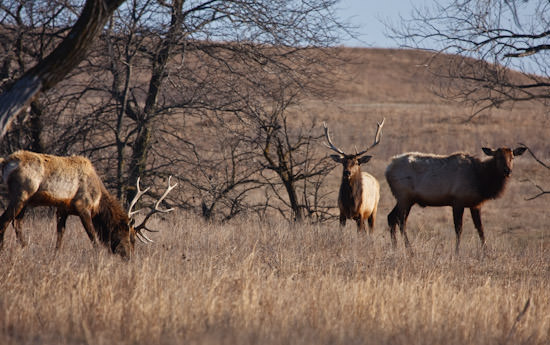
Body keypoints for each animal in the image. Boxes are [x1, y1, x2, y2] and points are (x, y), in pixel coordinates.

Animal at [0, 150, 177, 258]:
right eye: (132, 237)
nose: (129, 257)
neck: (98, 202)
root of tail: (6, 162)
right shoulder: (82, 206)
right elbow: (93, 237)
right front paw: (99, 256)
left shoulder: (62, 209)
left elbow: (60, 236)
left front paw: (56, 254)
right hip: (21, 194)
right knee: (5, 220)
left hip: (26, 200)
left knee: (17, 222)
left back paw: (25, 247)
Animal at [386, 145, 528, 253]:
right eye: (497, 157)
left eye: (512, 157)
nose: (507, 171)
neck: (481, 180)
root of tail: (387, 170)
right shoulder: (458, 201)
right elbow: (459, 229)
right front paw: (457, 252)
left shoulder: (475, 204)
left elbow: (480, 228)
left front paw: (486, 251)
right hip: (405, 197)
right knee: (401, 221)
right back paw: (409, 250)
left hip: (405, 199)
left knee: (391, 218)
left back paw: (394, 248)